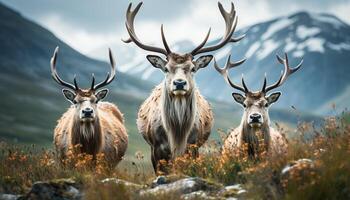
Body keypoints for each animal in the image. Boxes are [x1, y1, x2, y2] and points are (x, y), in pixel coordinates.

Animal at [122, 1, 243, 173]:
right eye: (166, 68)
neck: (177, 134)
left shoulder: (193, 145)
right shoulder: (156, 147)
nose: (179, 83)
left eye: (192, 68)